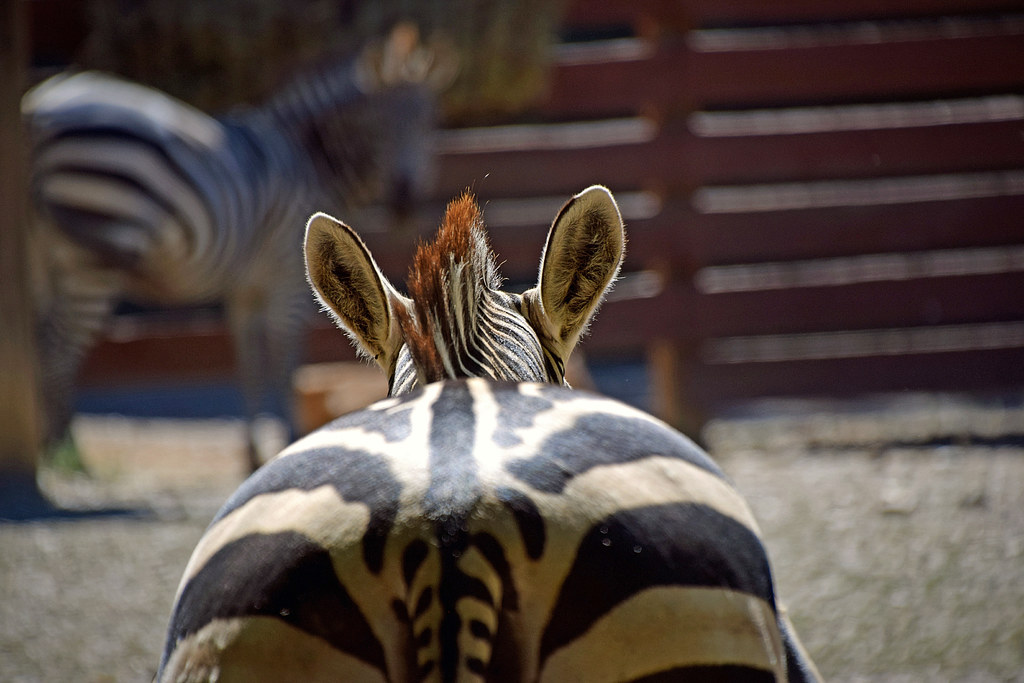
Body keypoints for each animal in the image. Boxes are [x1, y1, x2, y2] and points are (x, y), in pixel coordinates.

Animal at [24, 23, 452, 471]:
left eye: (429, 120)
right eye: (379, 124)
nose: (404, 203)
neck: (308, 157)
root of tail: (38, 107)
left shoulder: (246, 285)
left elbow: (248, 362)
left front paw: (252, 452)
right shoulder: (285, 274)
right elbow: (282, 360)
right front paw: (289, 439)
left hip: (42, 251)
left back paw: (49, 444)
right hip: (93, 253)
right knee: (57, 345)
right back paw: (66, 447)